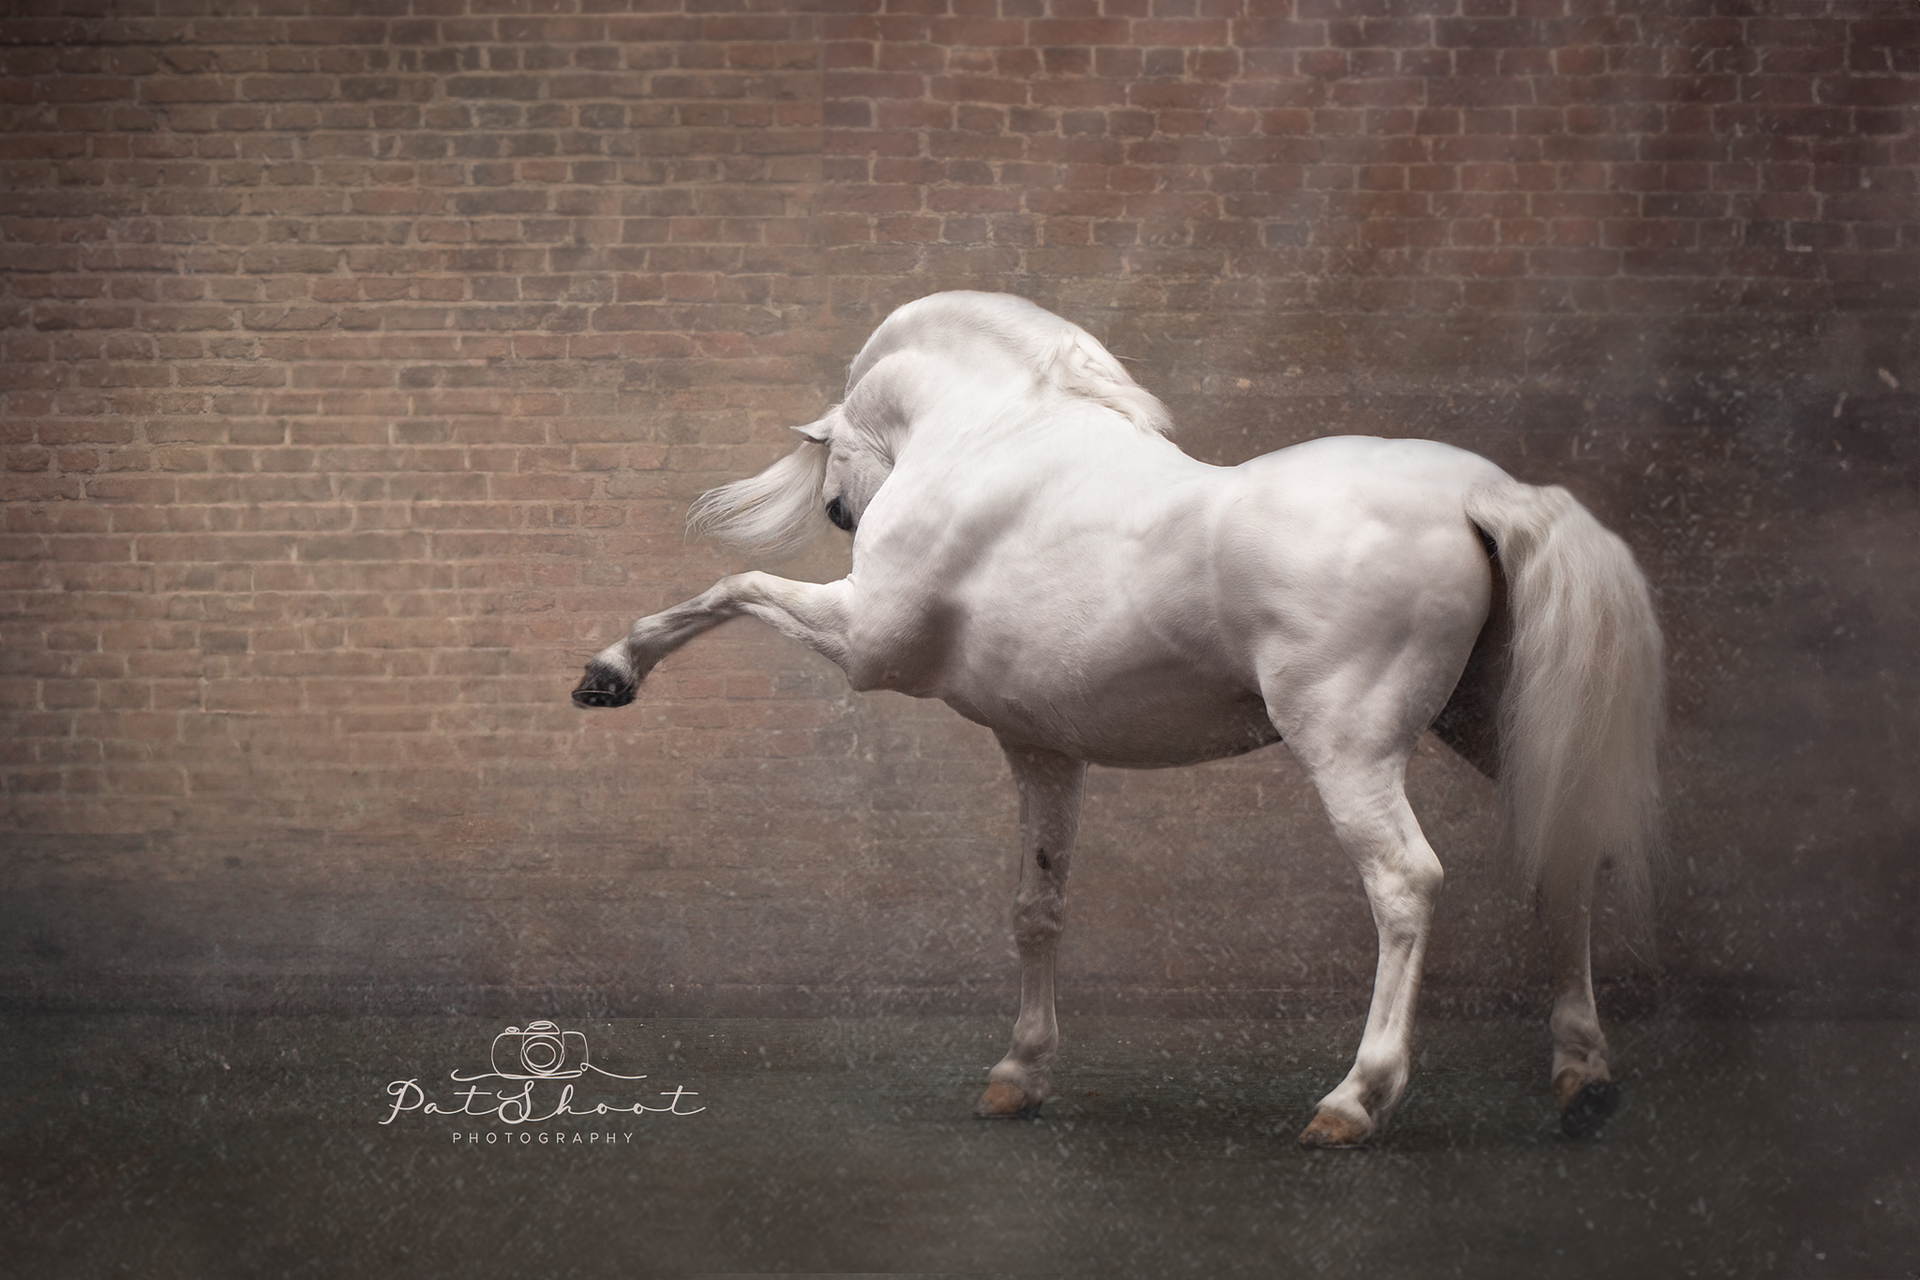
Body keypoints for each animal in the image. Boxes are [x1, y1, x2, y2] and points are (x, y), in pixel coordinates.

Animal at [572, 291, 1664, 1146]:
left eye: (837, 451)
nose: (842, 510)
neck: (993, 437)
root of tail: (1485, 495)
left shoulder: (864, 643)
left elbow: (735, 587)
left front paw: (611, 672)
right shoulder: (1043, 748)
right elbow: (1038, 907)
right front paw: (1018, 1076)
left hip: (1349, 749)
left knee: (1405, 883)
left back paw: (1356, 1099)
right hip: (1496, 730)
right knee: (1566, 855)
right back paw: (1582, 1077)